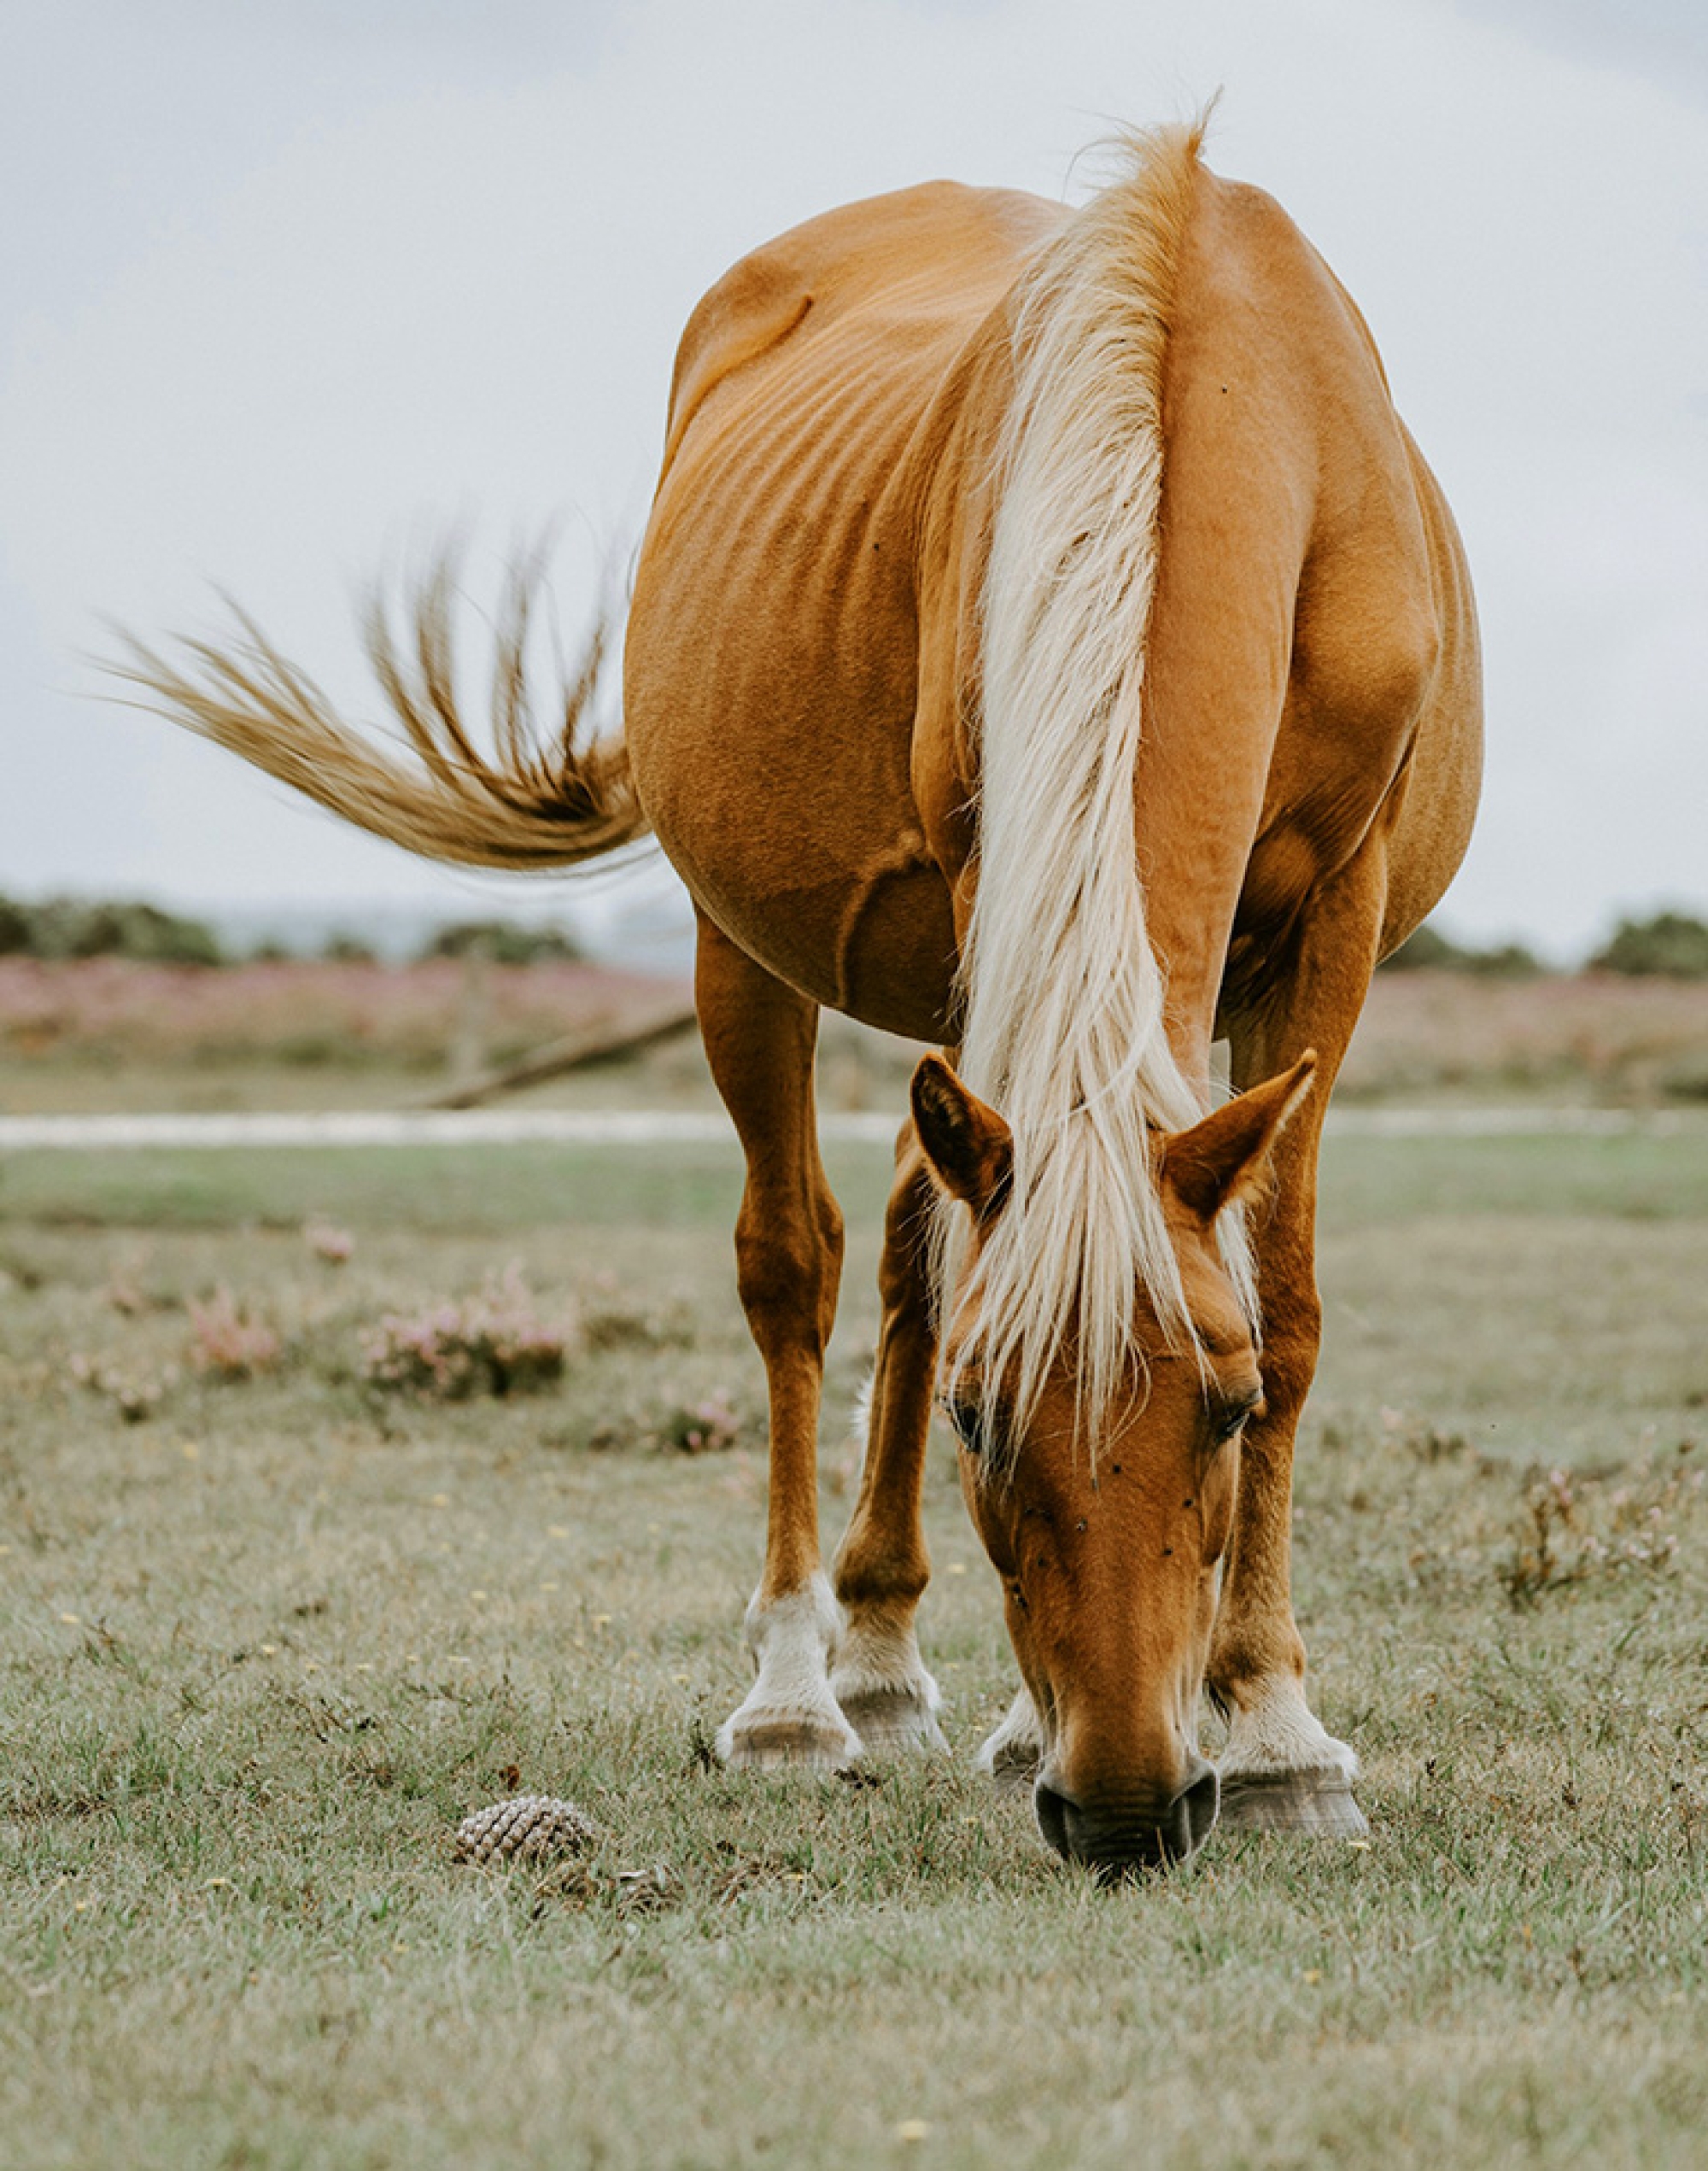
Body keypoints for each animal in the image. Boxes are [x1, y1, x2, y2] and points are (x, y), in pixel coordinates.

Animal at [116, 123, 1484, 1884]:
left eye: (1231, 1408)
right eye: (976, 1415)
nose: (1121, 1807)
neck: (1210, 393)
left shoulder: (1337, 921)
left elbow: (1290, 1298)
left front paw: (1277, 1736)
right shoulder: (988, 874)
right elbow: (920, 1274)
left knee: (913, 1222)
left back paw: (919, 1670)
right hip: (748, 946)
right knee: (806, 1263)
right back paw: (809, 1689)